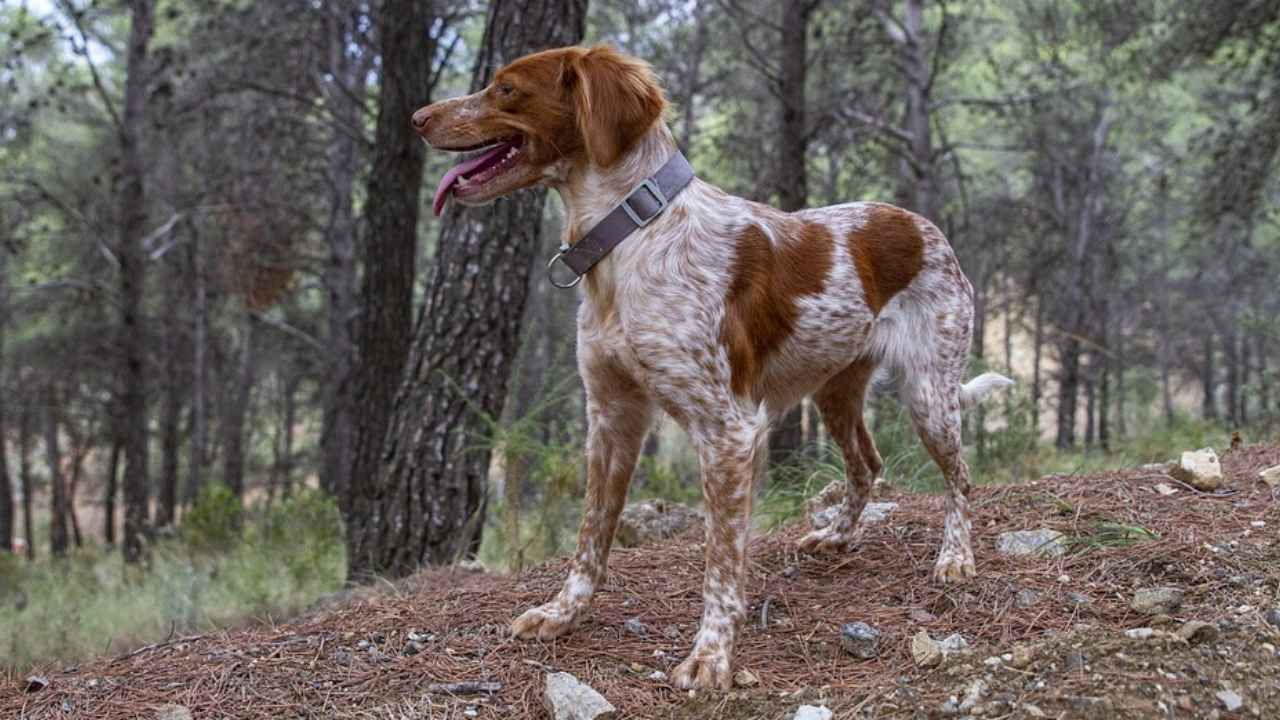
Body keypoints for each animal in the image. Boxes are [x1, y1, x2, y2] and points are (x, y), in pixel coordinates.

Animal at [414, 41, 1013, 686]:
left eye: (505, 89)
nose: (417, 117)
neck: (631, 235)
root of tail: (925, 228)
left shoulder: (728, 431)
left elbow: (721, 563)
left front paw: (711, 655)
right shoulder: (612, 417)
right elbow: (591, 534)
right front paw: (563, 612)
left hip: (930, 394)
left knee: (960, 479)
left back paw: (956, 557)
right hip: (834, 389)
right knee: (867, 463)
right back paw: (836, 535)